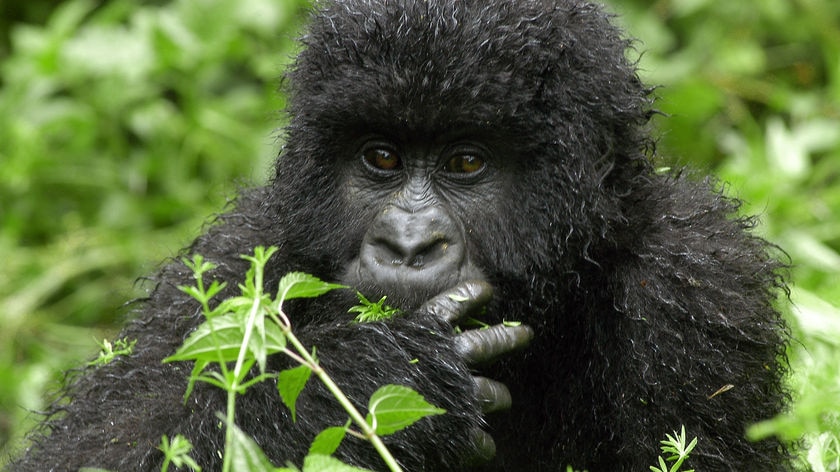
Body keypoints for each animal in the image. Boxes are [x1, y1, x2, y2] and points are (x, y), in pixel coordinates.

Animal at [9, 0, 792, 472]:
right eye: (381, 158)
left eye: (467, 162)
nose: (408, 244)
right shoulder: (233, 261)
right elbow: (104, 442)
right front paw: (368, 386)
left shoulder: (696, 279)